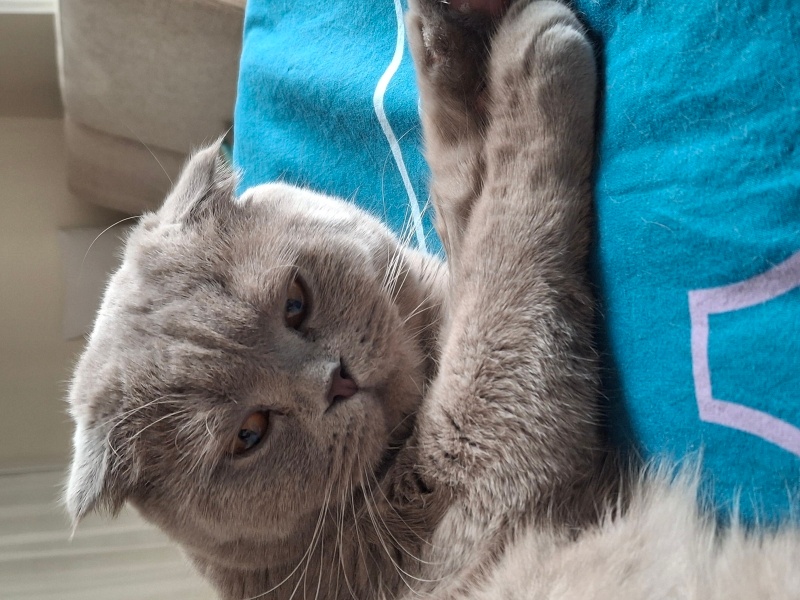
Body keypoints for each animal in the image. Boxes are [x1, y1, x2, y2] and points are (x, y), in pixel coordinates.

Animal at [65, 1, 796, 600]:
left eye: (295, 302)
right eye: (250, 434)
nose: (335, 381)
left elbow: (464, 185)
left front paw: (455, 34)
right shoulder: (482, 454)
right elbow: (507, 231)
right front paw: (534, 55)